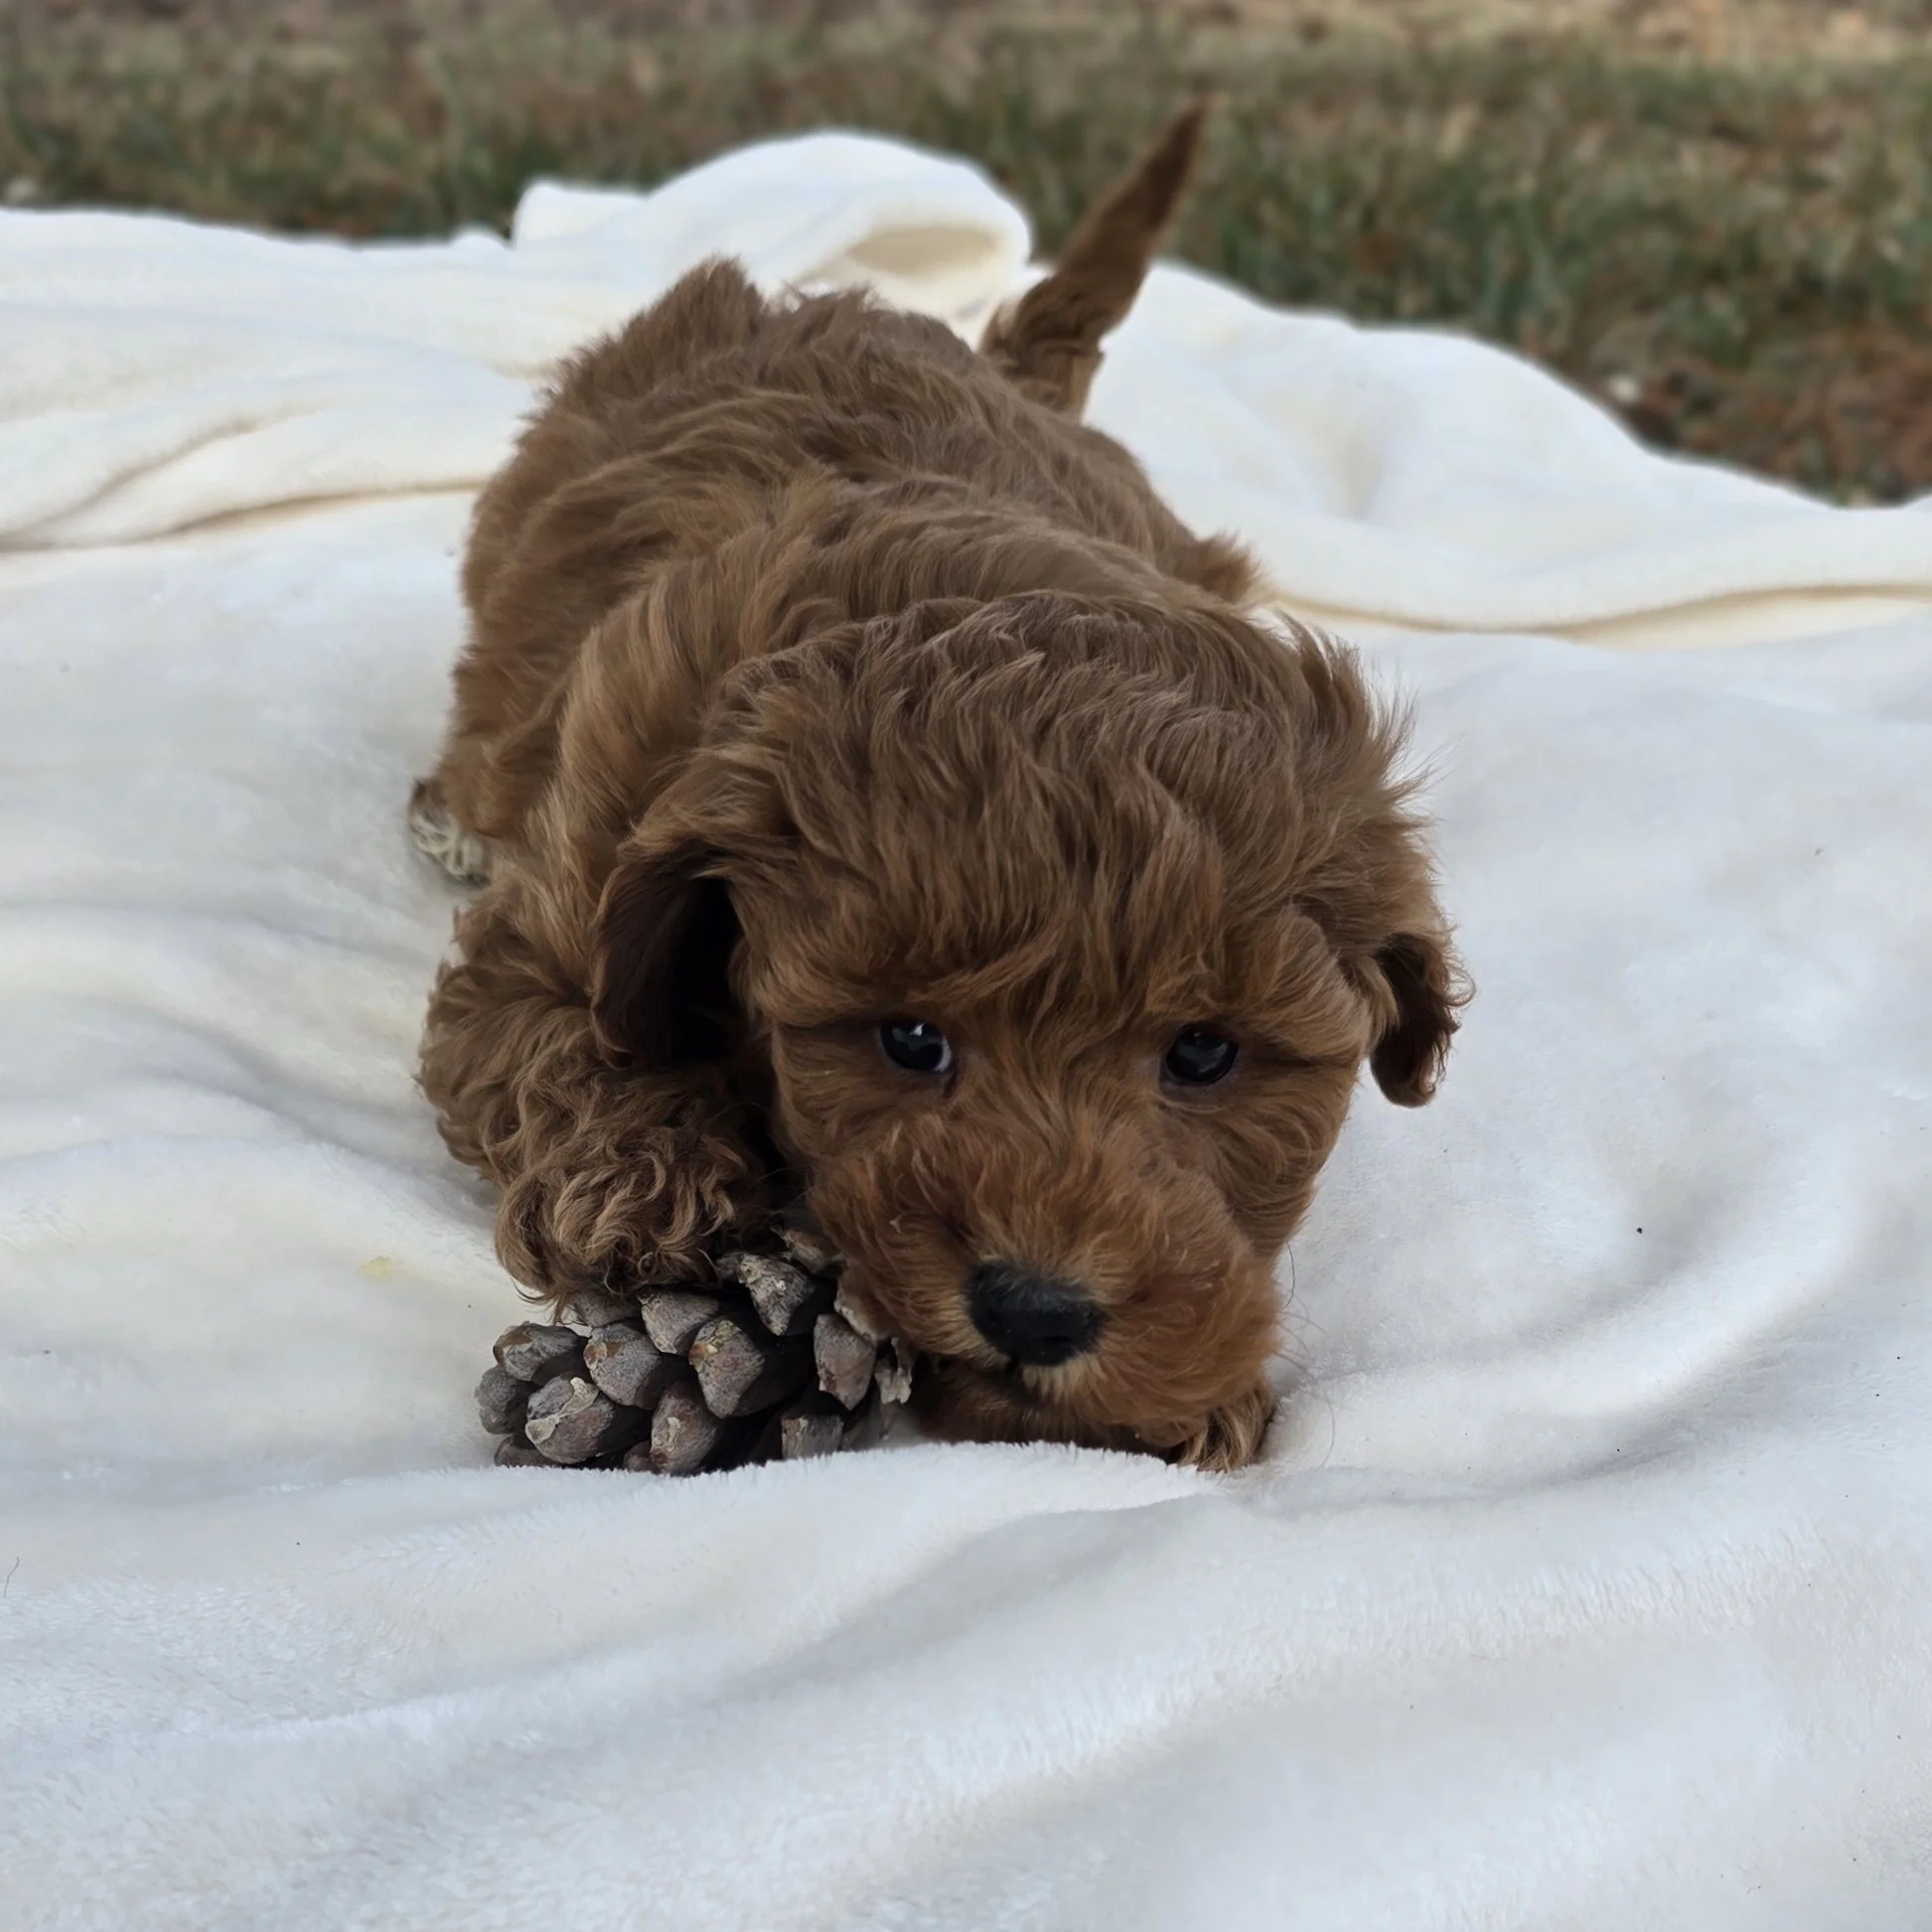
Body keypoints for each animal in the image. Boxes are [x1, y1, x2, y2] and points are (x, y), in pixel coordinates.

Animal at [411, 106, 1464, 1470]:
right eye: (910, 1040)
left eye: (1205, 1052)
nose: (1035, 1309)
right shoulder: (560, 903)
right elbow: (557, 1032)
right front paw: (649, 1188)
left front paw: (1188, 1395)